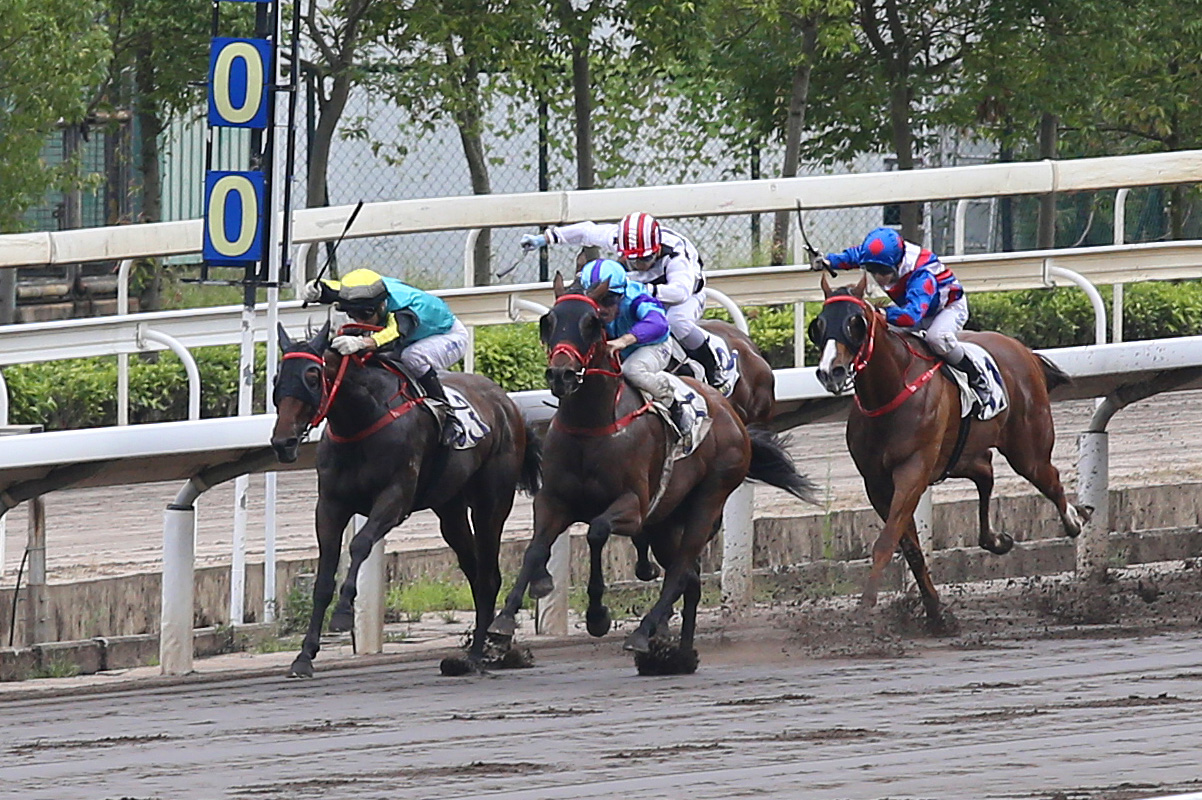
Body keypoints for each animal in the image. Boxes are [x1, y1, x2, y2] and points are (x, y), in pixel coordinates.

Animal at [272, 321, 540, 677]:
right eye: (277, 378)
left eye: (313, 376)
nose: (283, 442)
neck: (362, 419)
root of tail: (508, 404)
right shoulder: (329, 506)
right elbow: (323, 578)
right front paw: (304, 655)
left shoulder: (395, 499)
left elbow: (359, 544)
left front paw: (343, 612)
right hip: (450, 510)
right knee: (474, 570)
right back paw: (476, 652)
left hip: (491, 504)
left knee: (488, 576)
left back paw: (479, 653)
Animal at [485, 273, 817, 672]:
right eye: (548, 321)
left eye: (591, 323)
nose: (561, 374)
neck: (592, 425)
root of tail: (732, 417)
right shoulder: (554, 501)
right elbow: (535, 551)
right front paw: (503, 623)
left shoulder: (634, 506)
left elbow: (597, 531)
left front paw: (598, 615)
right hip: (667, 522)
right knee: (689, 579)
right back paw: (681, 653)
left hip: (707, 500)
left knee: (680, 571)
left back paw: (644, 633)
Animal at [807, 277, 1091, 624]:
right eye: (819, 325)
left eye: (854, 323)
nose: (829, 372)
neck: (891, 389)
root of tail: (1025, 351)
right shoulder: (876, 482)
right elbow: (910, 547)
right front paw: (934, 611)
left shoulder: (912, 471)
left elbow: (887, 541)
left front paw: (866, 605)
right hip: (958, 455)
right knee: (985, 471)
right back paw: (995, 539)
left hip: (1027, 447)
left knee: (1049, 478)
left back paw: (1074, 519)